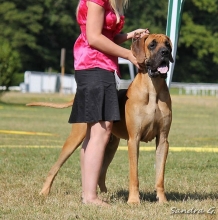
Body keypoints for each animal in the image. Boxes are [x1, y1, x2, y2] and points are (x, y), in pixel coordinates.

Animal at [27, 33, 174, 204]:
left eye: (167, 44)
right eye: (152, 45)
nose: (165, 52)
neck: (153, 89)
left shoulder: (163, 140)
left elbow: (160, 176)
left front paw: (162, 200)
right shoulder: (134, 140)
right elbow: (134, 175)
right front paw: (133, 200)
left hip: (110, 145)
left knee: (101, 171)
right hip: (75, 138)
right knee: (55, 167)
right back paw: (44, 192)